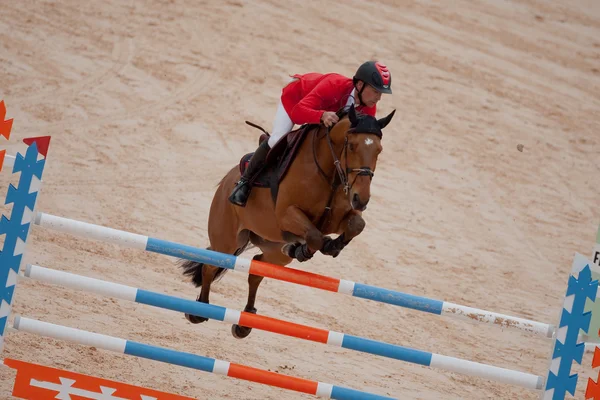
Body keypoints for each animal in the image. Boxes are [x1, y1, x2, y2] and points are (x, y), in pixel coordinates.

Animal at [179, 103, 394, 338]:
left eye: (379, 150)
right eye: (352, 146)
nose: (361, 200)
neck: (330, 172)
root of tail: (227, 180)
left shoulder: (338, 218)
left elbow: (356, 225)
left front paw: (331, 246)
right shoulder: (286, 214)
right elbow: (315, 236)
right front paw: (309, 248)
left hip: (274, 250)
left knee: (257, 267)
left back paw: (245, 321)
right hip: (227, 240)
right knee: (211, 265)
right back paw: (198, 311)